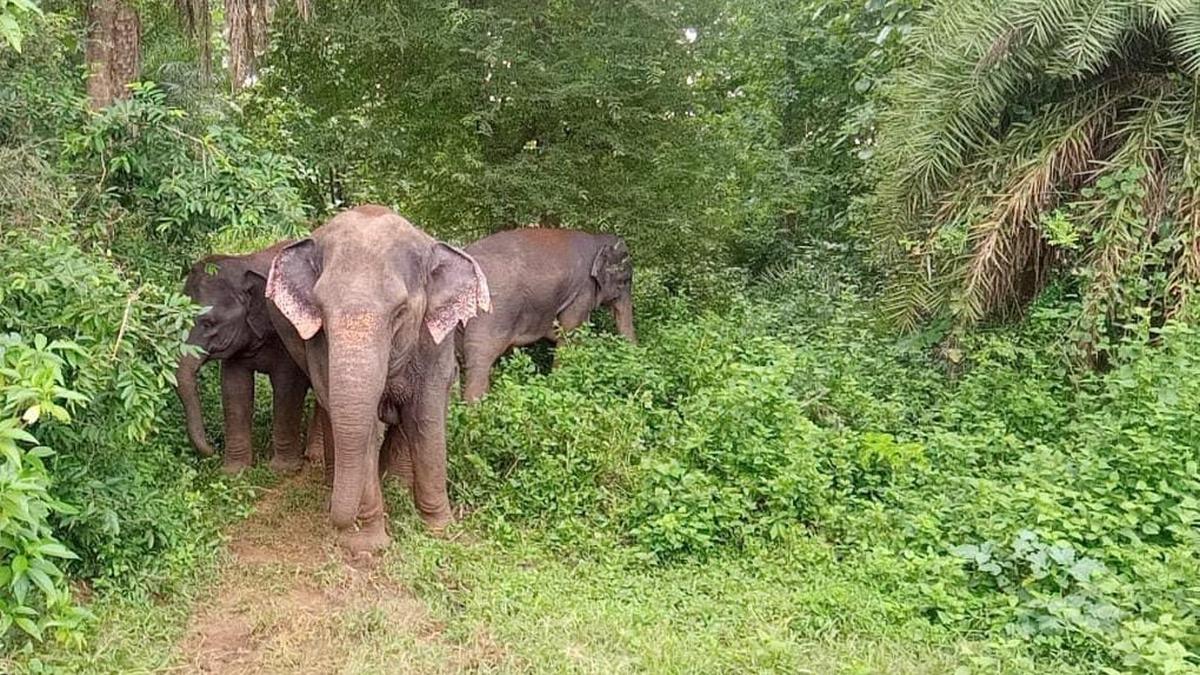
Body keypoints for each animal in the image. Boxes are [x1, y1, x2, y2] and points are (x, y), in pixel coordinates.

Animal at [175, 243, 324, 474]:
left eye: (209, 323)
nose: (213, 451)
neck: (244, 261)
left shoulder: (284, 332)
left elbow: (288, 388)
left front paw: (283, 469)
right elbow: (234, 388)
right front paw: (234, 471)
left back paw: (316, 458)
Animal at [264, 205, 490, 553]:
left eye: (400, 311)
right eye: (320, 310)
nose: (337, 521)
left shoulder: (433, 342)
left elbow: (425, 417)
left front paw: (441, 529)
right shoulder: (319, 347)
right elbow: (362, 426)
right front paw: (368, 545)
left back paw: (393, 485)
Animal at [458, 228, 635, 402]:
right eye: (625, 281)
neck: (597, 239)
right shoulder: (582, 292)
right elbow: (570, 334)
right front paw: (561, 384)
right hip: (492, 310)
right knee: (481, 358)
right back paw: (476, 407)